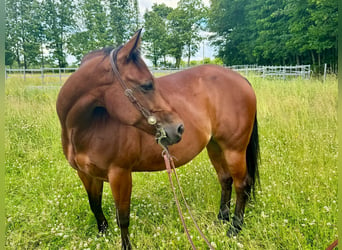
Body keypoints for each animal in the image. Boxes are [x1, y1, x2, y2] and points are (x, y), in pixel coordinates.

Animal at [56, 28, 260, 248]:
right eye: (146, 85)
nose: (179, 128)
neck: (85, 127)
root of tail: (240, 79)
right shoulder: (86, 174)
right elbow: (95, 205)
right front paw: (103, 234)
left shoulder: (120, 174)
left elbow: (123, 217)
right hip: (214, 146)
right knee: (225, 179)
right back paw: (221, 219)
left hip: (234, 149)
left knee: (242, 184)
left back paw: (234, 228)